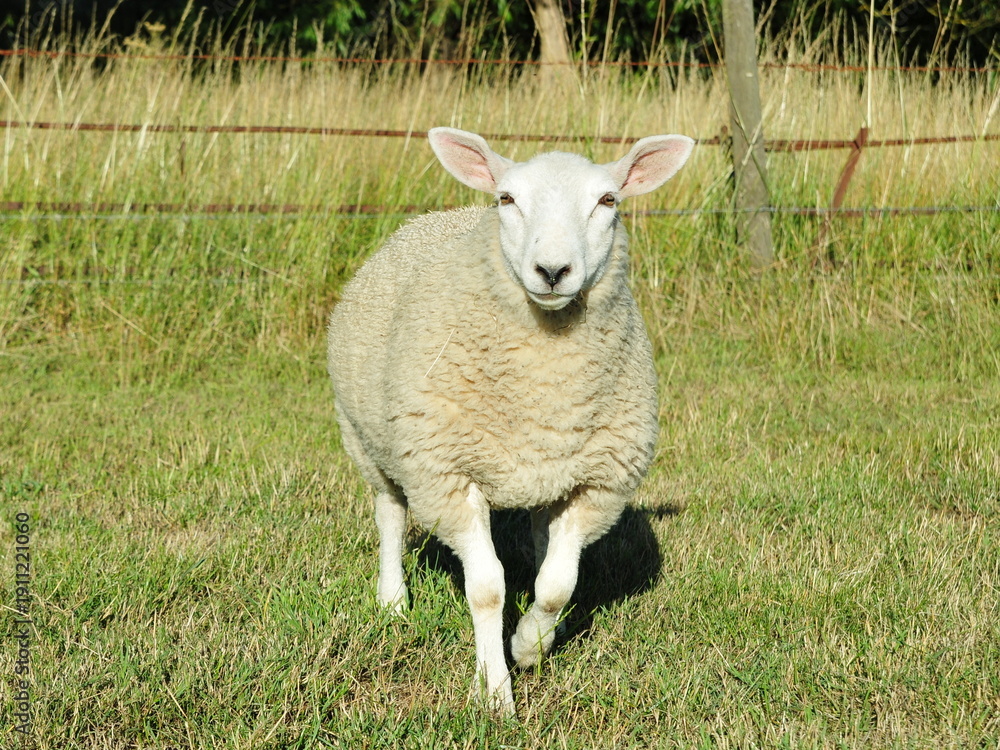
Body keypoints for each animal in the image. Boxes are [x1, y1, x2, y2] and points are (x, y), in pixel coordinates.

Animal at [327, 127, 694, 713]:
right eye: (507, 199)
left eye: (608, 201)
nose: (553, 272)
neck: (543, 383)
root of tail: (437, 215)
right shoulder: (449, 476)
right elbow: (487, 589)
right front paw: (495, 692)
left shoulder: (594, 484)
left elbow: (556, 585)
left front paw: (527, 647)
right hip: (370, 440)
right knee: (390, 514)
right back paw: (392, 600)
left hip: (546, 475)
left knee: (544, 550)